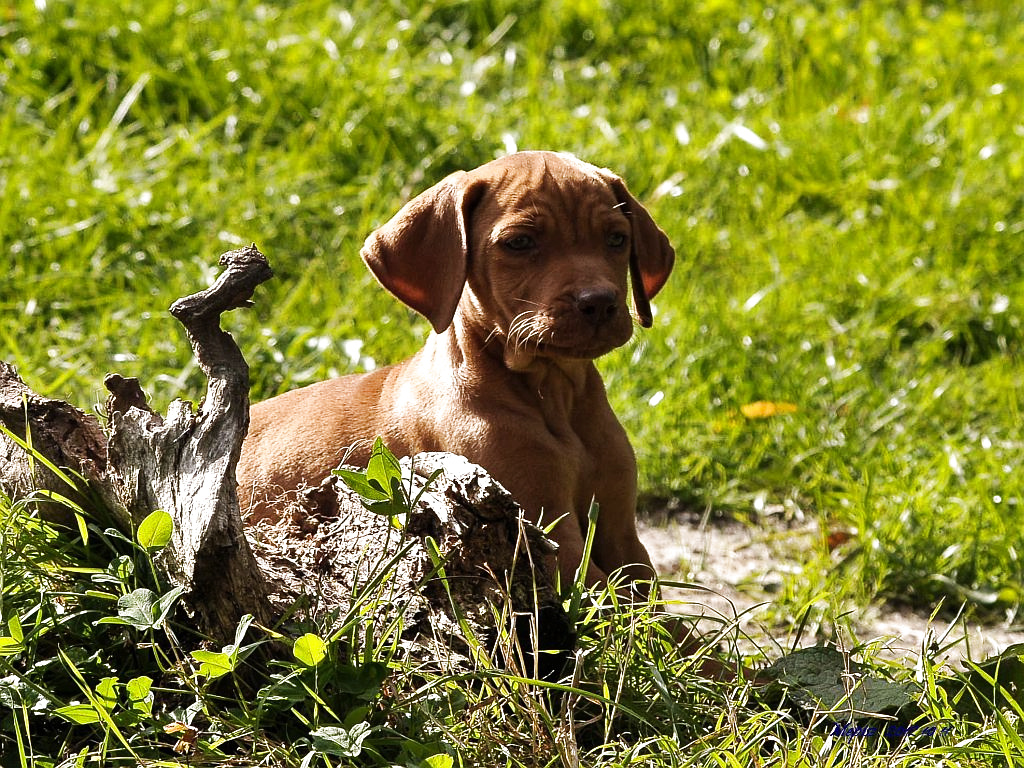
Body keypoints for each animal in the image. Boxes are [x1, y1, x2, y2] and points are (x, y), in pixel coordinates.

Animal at [235, 153, 675, 593]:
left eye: (616, 239)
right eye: (519, 242)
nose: (598, 302)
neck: (554, 394)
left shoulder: (622, 535)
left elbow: (653, 603)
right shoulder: (548, 536)